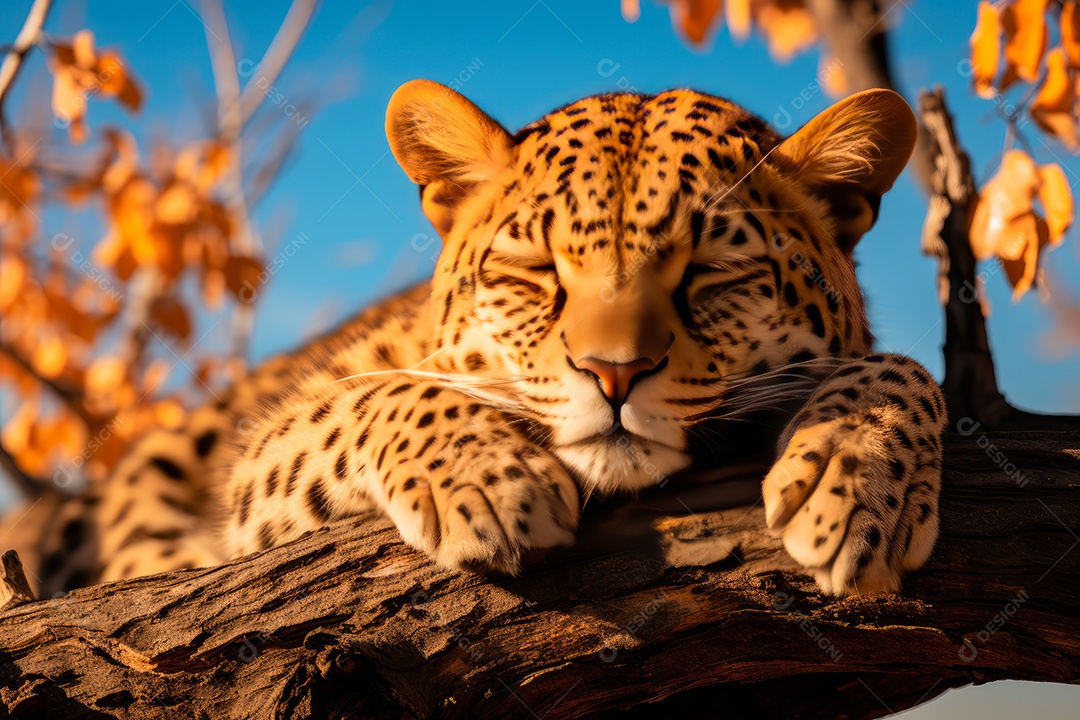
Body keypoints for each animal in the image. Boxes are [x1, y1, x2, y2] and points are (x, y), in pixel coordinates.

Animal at [5, 80, 946, 600]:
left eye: (711, 273)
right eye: (536, 271)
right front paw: (487, 480)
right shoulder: (259, 469)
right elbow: (377, 393)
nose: (613, 373)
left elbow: (906, 367)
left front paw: (857, 475)